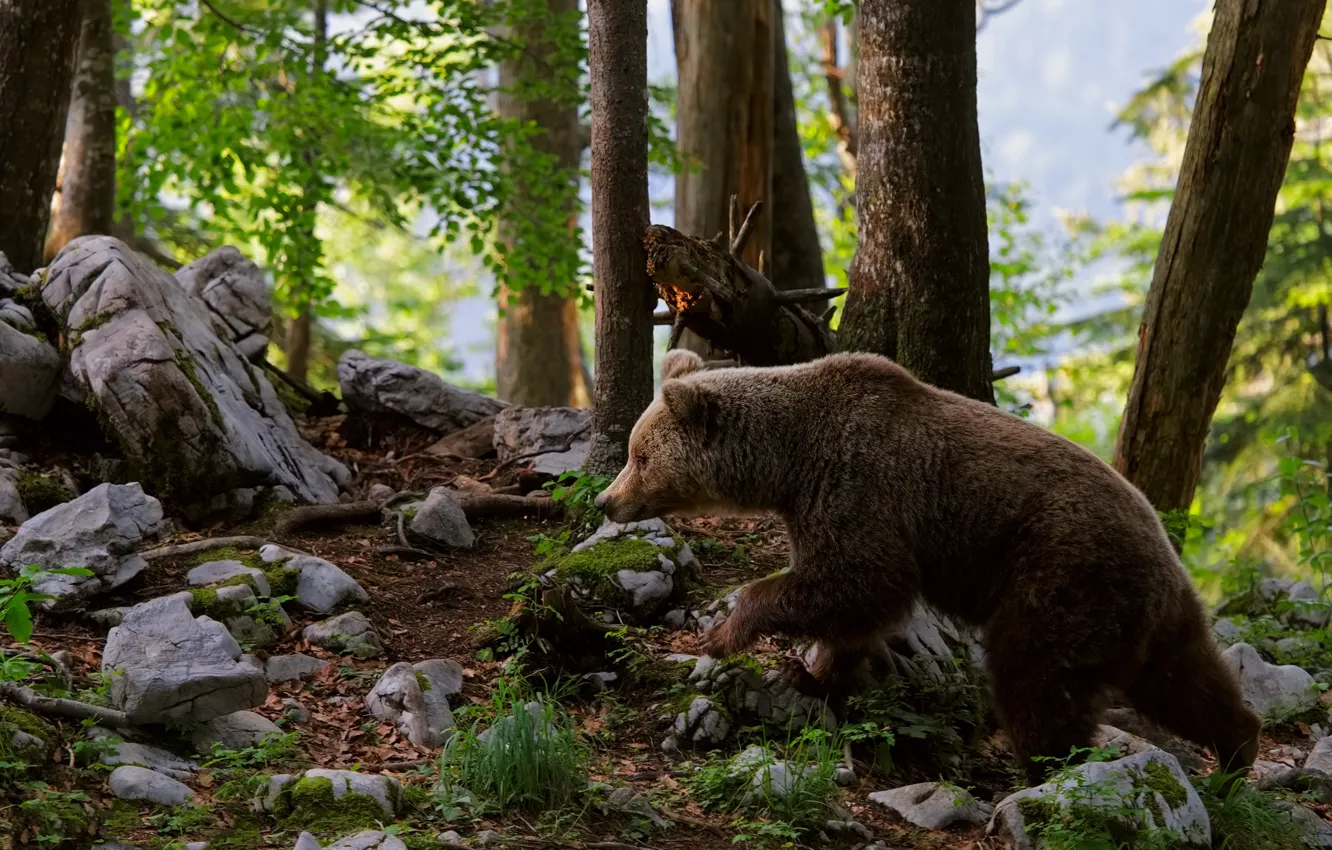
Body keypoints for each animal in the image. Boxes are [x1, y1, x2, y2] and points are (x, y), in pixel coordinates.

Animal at [595, 349, 1261, 784]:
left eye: (638, 455)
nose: (606, 500)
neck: (788, 463)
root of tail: (1161, 547)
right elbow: (854, 606)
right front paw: (815, 672)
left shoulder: (859, 487)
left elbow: (856, 579)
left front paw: (725, 632)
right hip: (1152, 611)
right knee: (1187, 680)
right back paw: (1237, 750)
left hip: (1061, 575)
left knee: (1035, 679)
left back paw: (1042, 775)